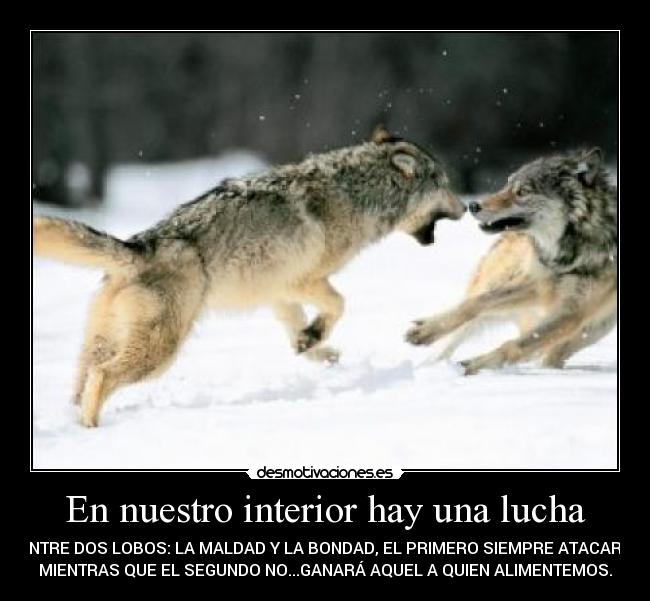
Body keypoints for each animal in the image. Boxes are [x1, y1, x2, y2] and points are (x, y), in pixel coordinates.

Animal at [34, 125, 465, 426]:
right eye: (445, 184)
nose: (467, 207)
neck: (358, 195)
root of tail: (139, 245)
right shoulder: (303, 281)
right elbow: (340, 304)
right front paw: (316, 338)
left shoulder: (278, 292)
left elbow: (297, 332)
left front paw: (314, 346)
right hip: (158, 353)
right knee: (103, 376)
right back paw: (93, 428)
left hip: (105, 343)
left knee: (83, 382)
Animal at [406, 147, 617, 375]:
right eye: (507, 185)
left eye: (522, 192)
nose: (473, 205)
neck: (568, 255)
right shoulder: (537, 285)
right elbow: (479, 302)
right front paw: (425, 331)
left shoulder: (572, 312)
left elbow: (516, 346)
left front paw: (475, 365)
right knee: (456, 335)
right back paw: (428, 364)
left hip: (594, 328)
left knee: (551, 354)